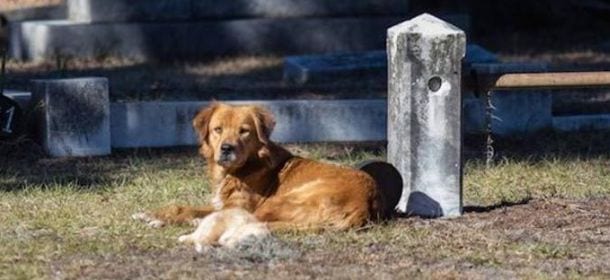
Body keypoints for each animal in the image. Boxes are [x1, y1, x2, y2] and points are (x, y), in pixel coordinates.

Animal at [134, 102, 390, 247]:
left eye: (244, 131)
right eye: (218, 129)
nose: (226, 148)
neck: (239, 170)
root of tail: (365, 202)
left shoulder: (240, 207)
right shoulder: (222, 204)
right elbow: (182, 207)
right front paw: (152, 214)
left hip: (277, 202)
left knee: (253, 222)